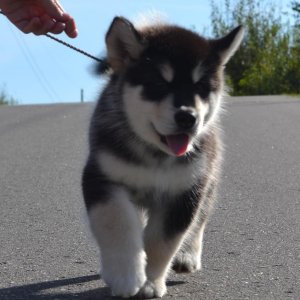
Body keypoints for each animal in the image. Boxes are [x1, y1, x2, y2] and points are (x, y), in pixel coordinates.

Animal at [82, 15, 244, 298]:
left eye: (202, 87)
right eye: (159, 84)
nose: (188, 117)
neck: (155, 155)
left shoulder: (185, 191)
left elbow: (163, 241)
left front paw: (149, 281)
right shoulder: (101, 178)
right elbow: (117, 224)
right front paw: (126, 276)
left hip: (208, 179)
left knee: (200, 219)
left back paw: (188, 255)